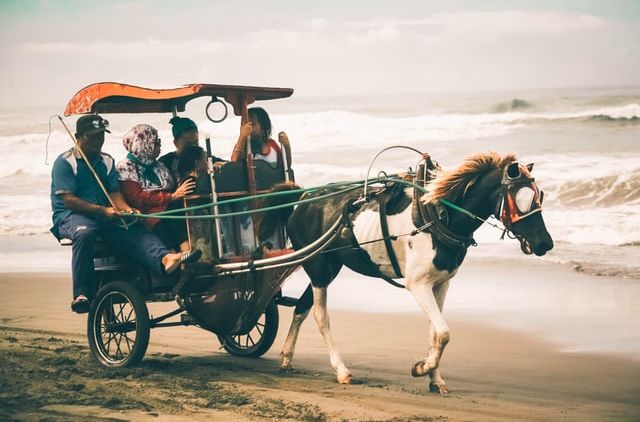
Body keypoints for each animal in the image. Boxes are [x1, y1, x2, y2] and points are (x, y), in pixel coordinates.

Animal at [268, 151, 552, 392]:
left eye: (540, 196)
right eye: (522, 200)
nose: (545, 244)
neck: (438, 215)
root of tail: (304, 200)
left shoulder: (441, 284)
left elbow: (435, 333)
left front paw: (435, 378)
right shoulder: (418, 285)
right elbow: (444, 332)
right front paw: (422, 368)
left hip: (328, 266)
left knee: (301, 309)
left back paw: (287, 359)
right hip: (319, 269)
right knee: (320, 316)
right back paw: (341, 370)